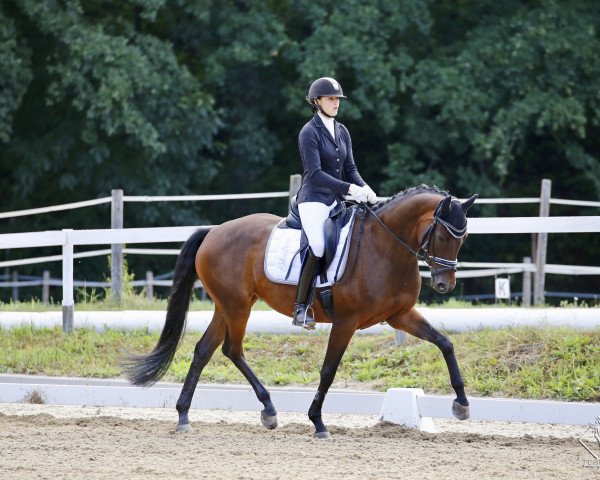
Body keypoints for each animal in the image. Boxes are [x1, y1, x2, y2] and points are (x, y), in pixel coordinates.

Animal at [126, 187, 478, 438]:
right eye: (443, 235)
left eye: (464, 238)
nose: (444, 284)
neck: (384, 247)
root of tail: (213, 231)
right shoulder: (346, 322)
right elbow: (328, 370)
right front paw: (318, 422)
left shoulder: (400, 315)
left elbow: (445, 343)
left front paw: (461, 403)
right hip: (237, 306)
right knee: (231, 349)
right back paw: (267, 409)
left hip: (227, 305)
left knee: (204, 350)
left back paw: (185, 415)